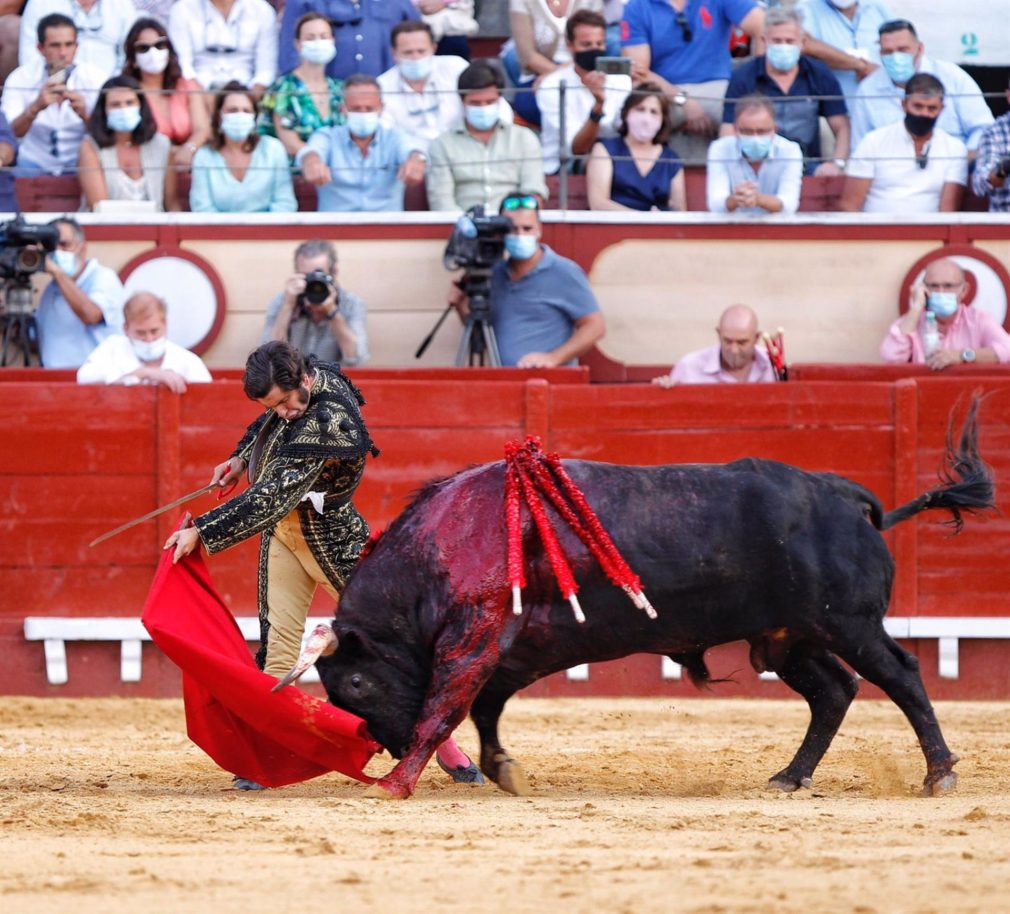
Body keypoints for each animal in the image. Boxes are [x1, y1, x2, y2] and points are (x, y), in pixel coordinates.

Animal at [278, 401, 993, 799]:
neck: (442, 545)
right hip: (789, 638)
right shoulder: (509, 654)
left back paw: (938, 774)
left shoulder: (471, 641)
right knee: (834, 691)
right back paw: (791, 777)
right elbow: (484, 711)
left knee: (901, 674)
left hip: (849, 624)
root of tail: (845, 495)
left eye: (358, 684)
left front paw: (396, 785)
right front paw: (502, 770)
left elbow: (444, 709)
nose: (389, 750)